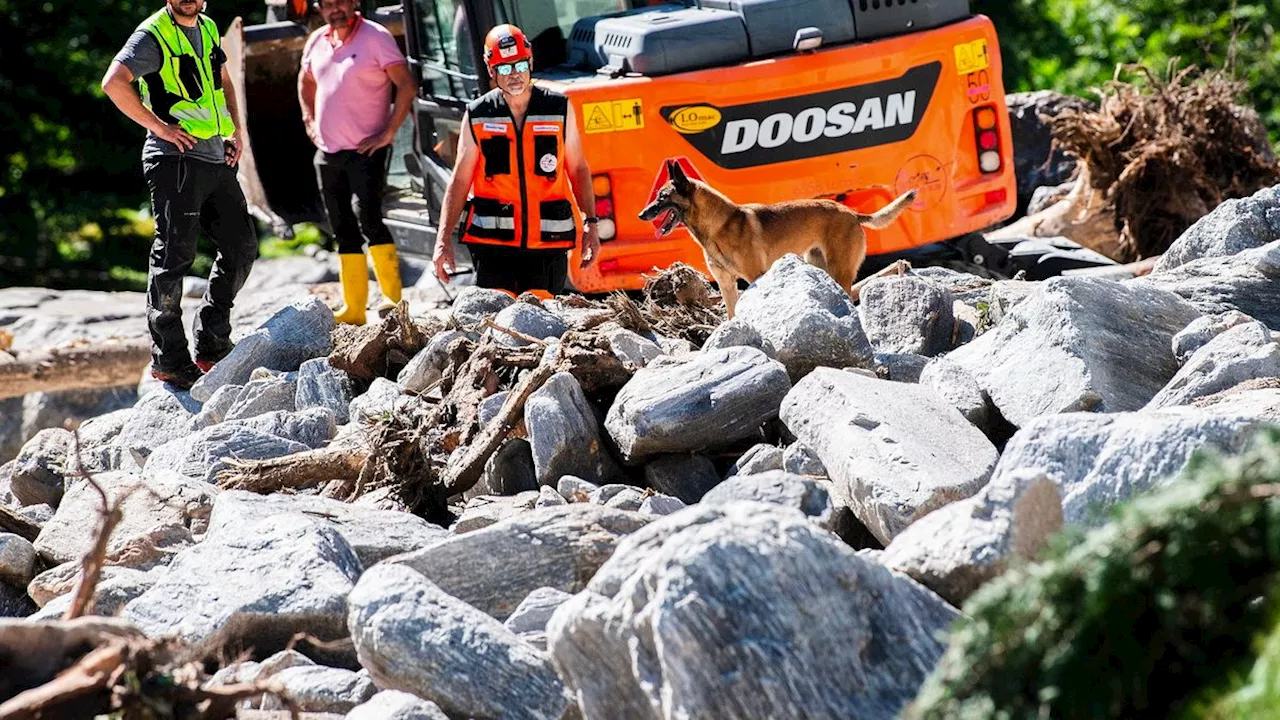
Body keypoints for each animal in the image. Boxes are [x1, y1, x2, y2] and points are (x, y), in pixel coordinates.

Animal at [645, 159, 916, 316]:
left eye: (662, 197)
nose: (641, 214)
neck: (718, 226)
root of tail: (853, 214)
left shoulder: (755, 277)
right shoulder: (726, 284)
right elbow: (732, 315)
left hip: (840, 270)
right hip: (820, 266)